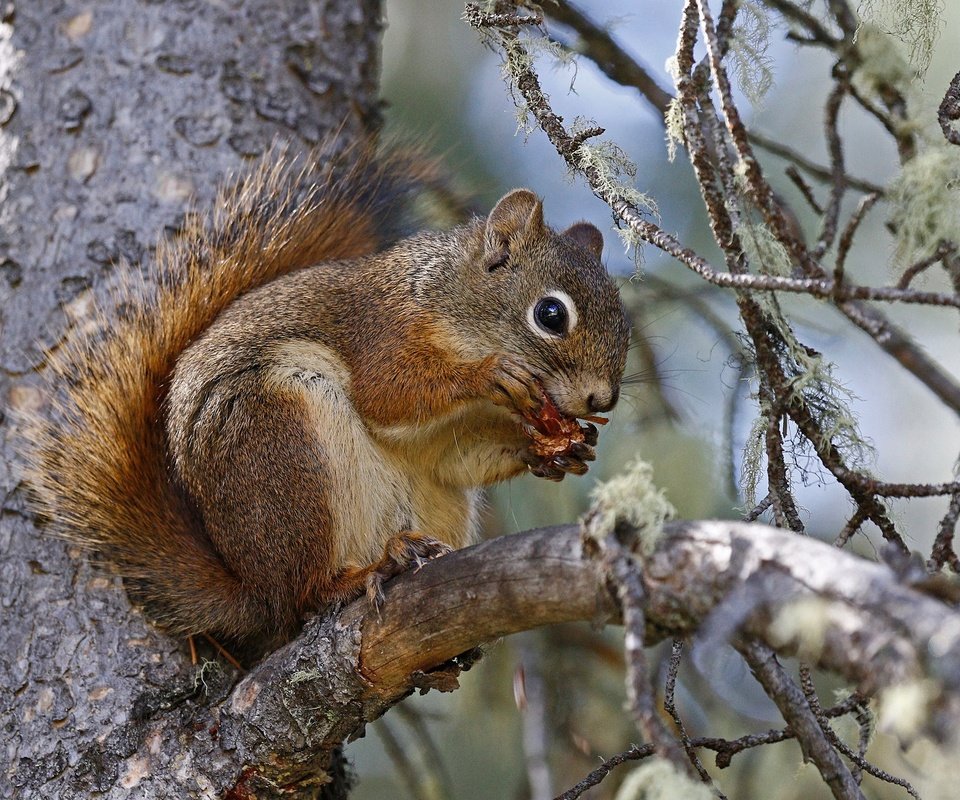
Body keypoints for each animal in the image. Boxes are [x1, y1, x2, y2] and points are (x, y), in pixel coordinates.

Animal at [20, 139, 632, 648]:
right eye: (550, 314)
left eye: (623, 319)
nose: (602, 402)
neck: (447, 300)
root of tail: (253, 589)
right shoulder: (380, 332)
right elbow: (387, 393)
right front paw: (488, 372)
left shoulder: (451, 440)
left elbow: (457, 458)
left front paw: (555, 449)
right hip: (281, 444)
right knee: (303, 596)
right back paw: (361, 575)